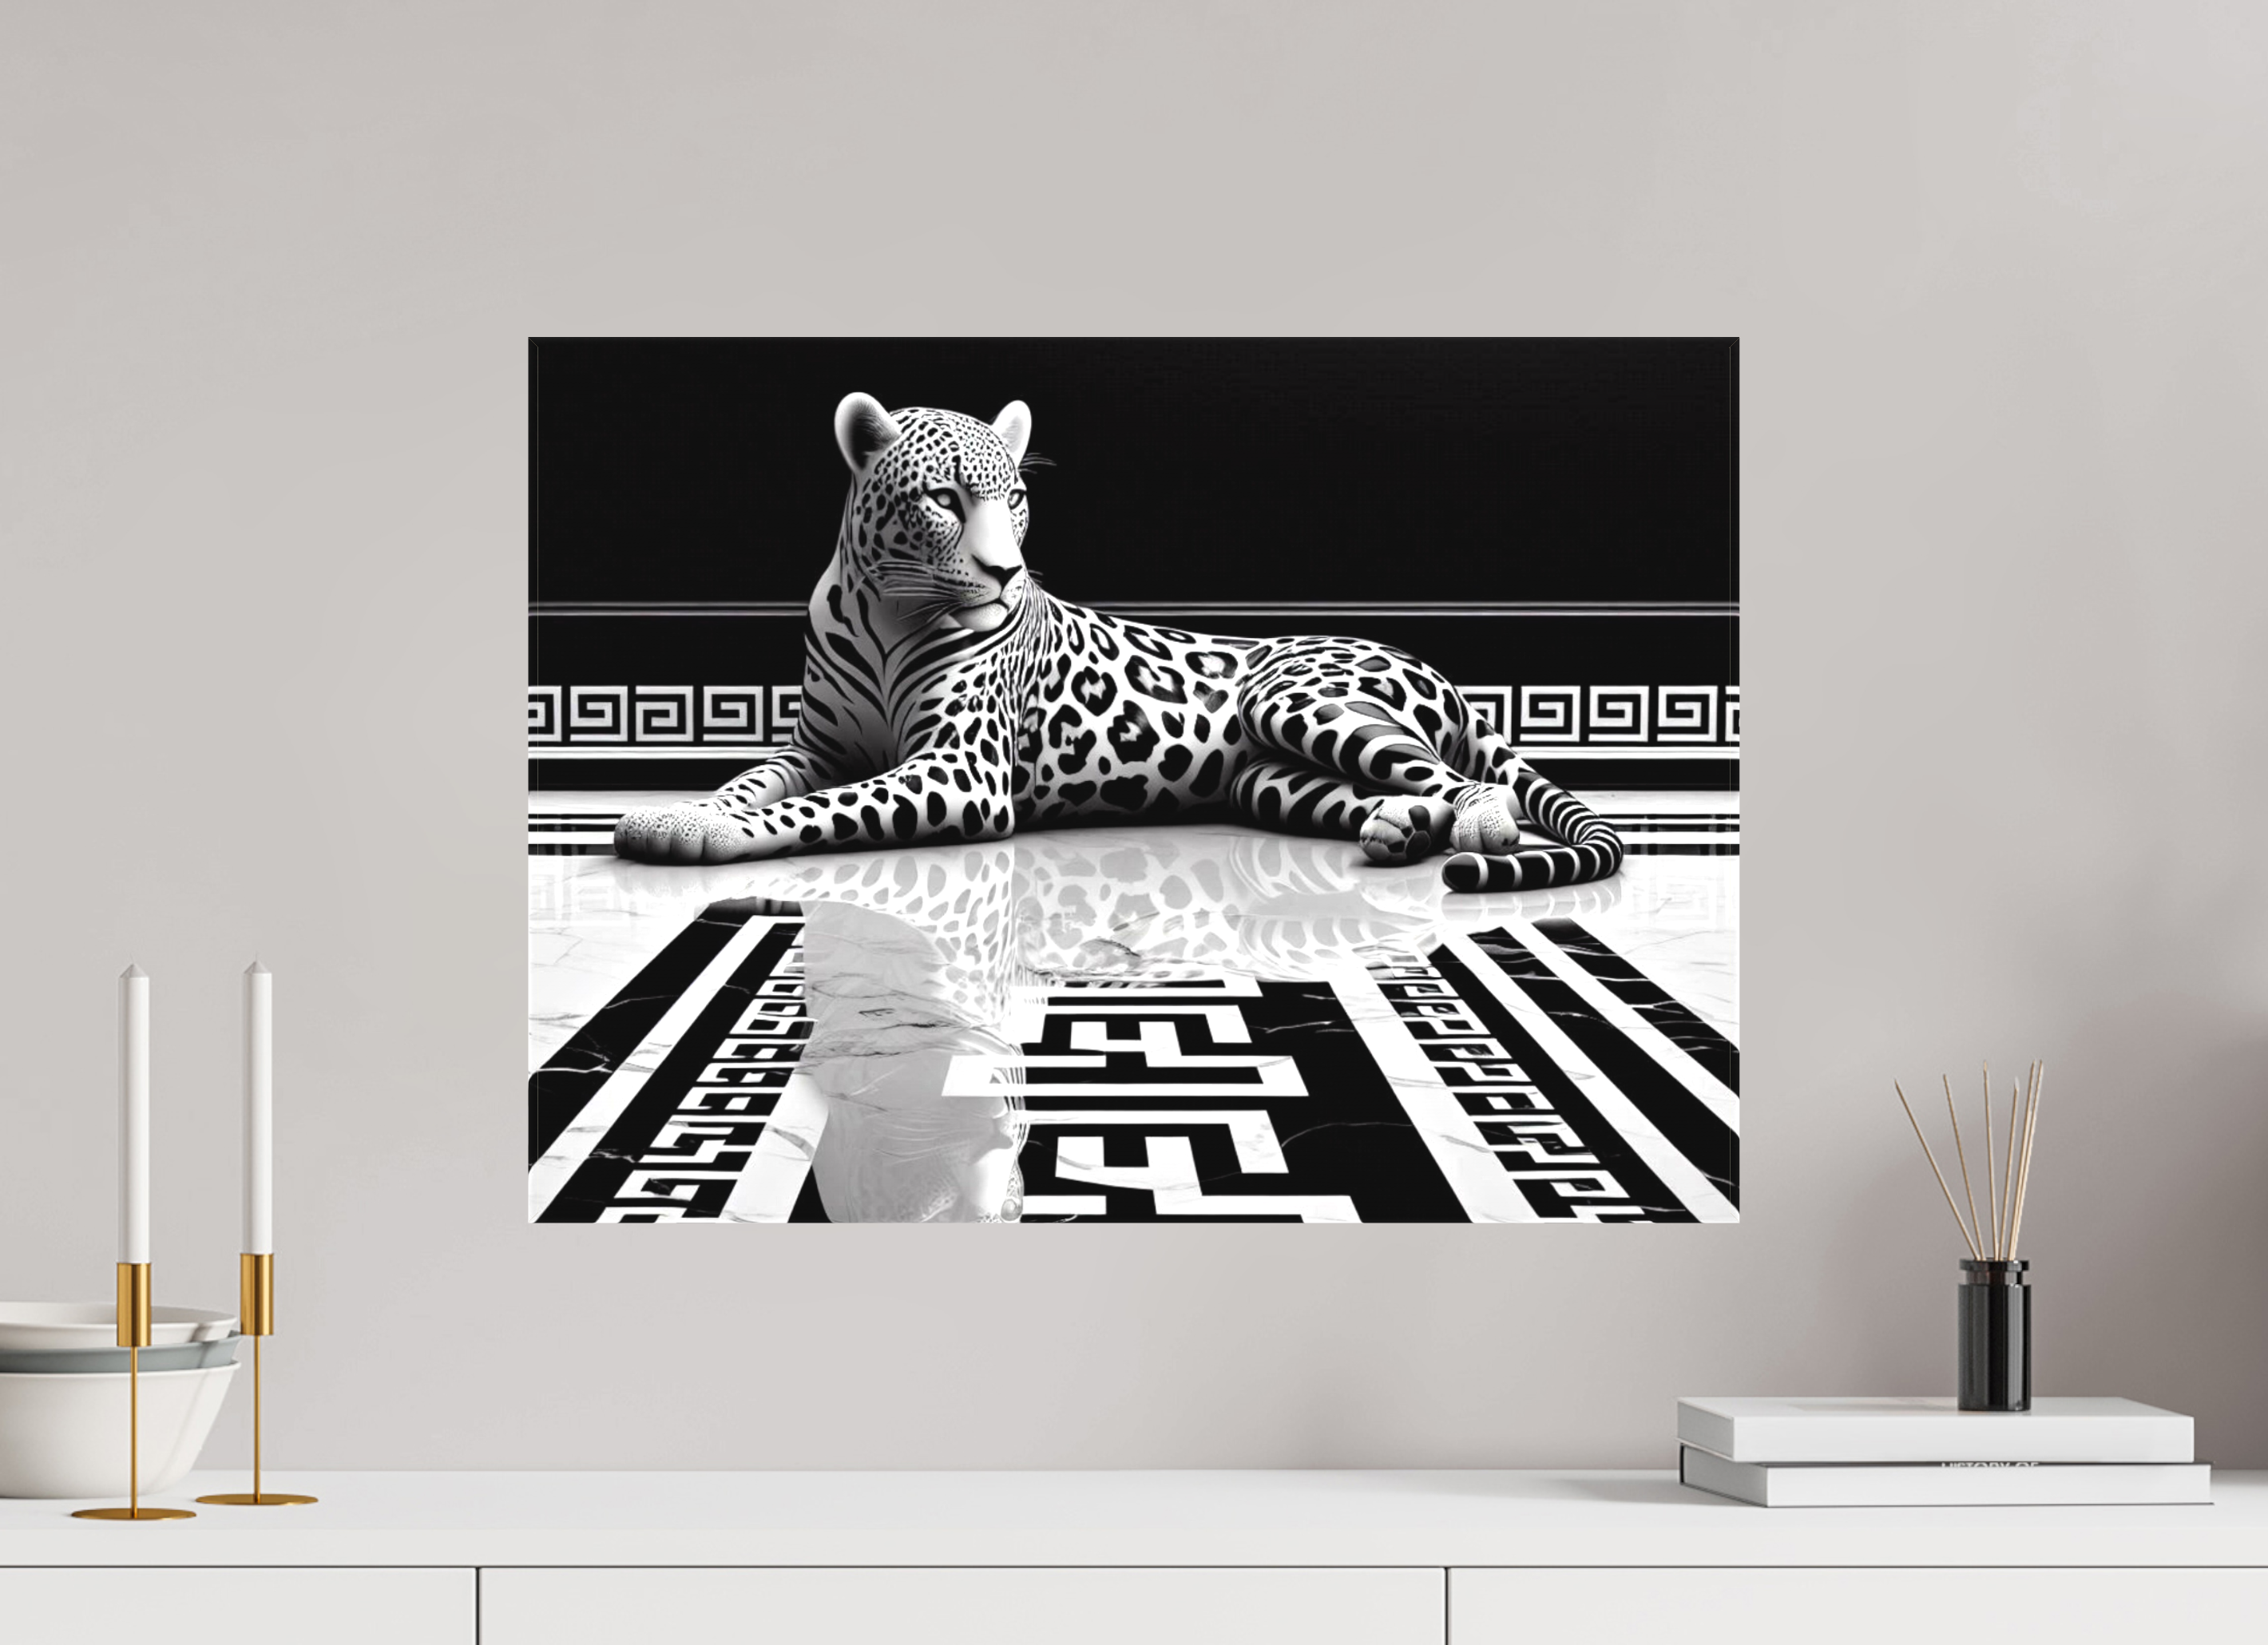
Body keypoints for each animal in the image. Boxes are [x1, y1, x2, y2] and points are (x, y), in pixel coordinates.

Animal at [613, 392, 1624, 894]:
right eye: (944, 498)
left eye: (1016, 498)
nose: (1005, 574)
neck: (885, 608)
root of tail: (1428, 661)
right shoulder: (813, 747)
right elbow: (754, 781)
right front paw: (677, 812)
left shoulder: (958, 772)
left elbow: (815, 808)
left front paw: (708, 833)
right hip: (1267, 776)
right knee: (1385, 792)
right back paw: (1398, 828)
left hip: (1296, 699)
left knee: (1464, 780)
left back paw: (1478, 822)